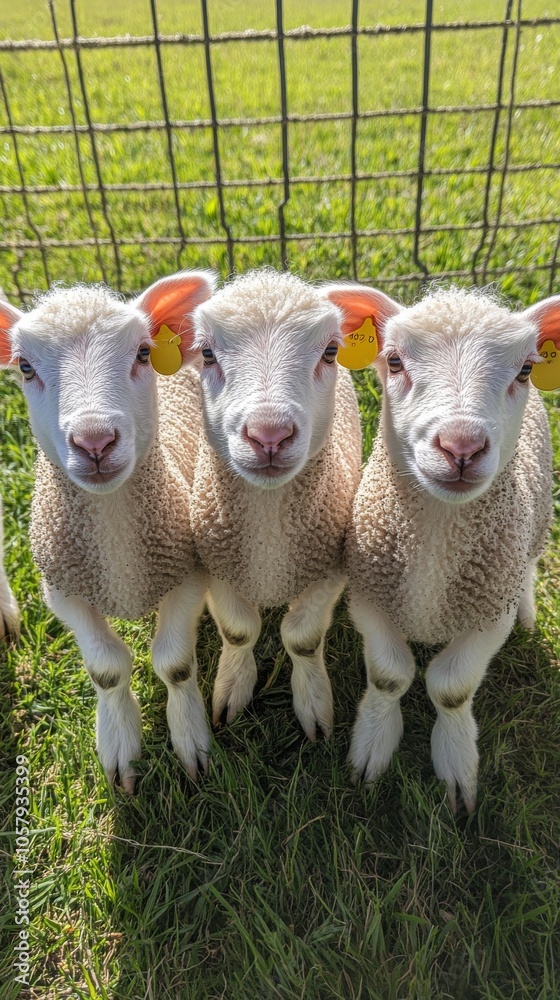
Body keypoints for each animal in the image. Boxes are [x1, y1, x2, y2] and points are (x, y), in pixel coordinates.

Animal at [0, 272, 217, 791]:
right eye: (24, 367)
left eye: (142, 353)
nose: (95, 441)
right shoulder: (63, 589)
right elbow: (106, 671)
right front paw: (119, 747)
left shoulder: (188, 573)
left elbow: (174, 664)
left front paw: (191, 740)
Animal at [178, 268, 362, 741]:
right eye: (207, 352)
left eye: (330, 351)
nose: (269, 436)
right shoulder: (216, 563)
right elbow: (239, 632)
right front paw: (232, 691)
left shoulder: (329, 567)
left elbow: (302, 639)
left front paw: (314, 706)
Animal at [322, 283, 558, 812]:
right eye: (393, 361)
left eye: (525, 369)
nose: (461, 447)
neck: (437, 534)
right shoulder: (368, 595)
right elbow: (390, 675)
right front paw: (373, 747)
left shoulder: (489, 615)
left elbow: (452, 689)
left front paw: (455, 765)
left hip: (536, 523)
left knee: (531, 564)